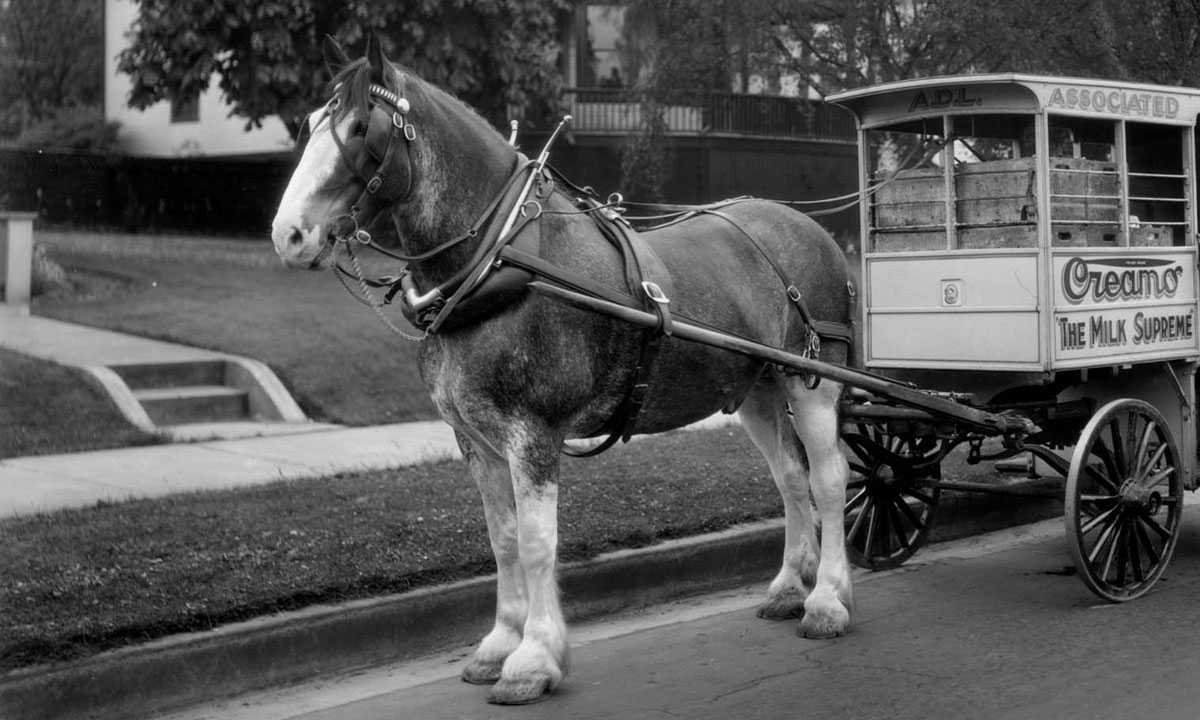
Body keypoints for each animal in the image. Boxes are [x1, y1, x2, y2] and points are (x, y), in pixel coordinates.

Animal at [271, 37, 855, 705]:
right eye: (309, 122)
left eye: (359, 128)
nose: (288, 235)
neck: (498, 260)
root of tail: (808, 226)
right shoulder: (475, 439)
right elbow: (501, 540)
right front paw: (499, 644)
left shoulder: (534, 432)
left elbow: (536, 543)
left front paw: (534, 659)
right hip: (757, 387)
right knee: (790, 477)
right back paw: (790, 586)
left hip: (814, 381)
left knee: (829, 479)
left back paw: (828, 600)